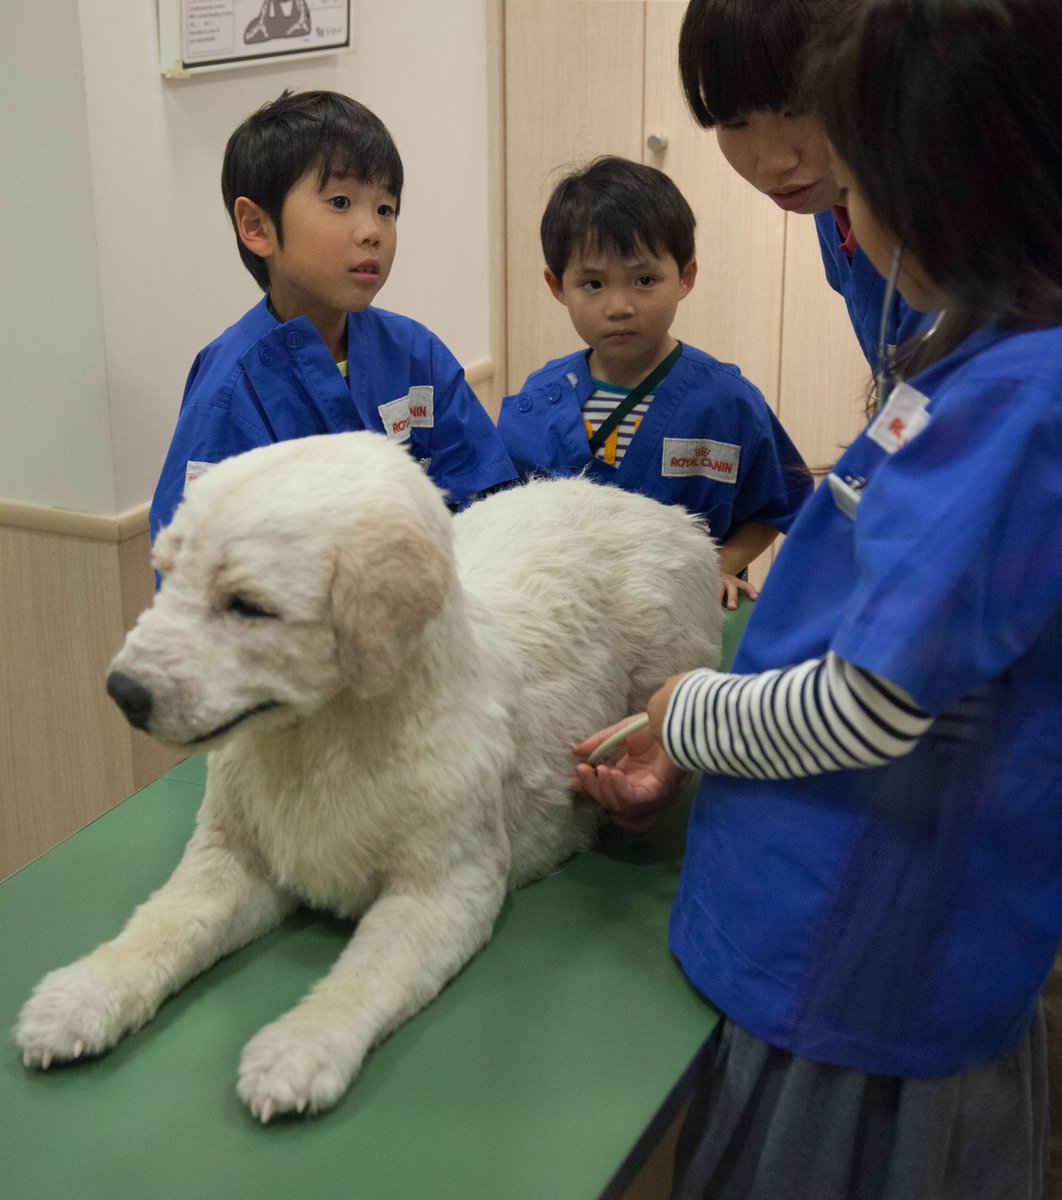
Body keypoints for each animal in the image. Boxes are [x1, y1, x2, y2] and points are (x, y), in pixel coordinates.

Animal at [14, 429, 720, 1113]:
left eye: (247, 605)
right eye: (166, 573)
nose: (123, 692)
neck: (320, 738)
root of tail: (656, 508)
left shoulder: (444, 892)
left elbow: (368, 974)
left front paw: (302, 1047)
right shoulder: (232, 859)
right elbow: (163, 923)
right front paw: (83, 994)